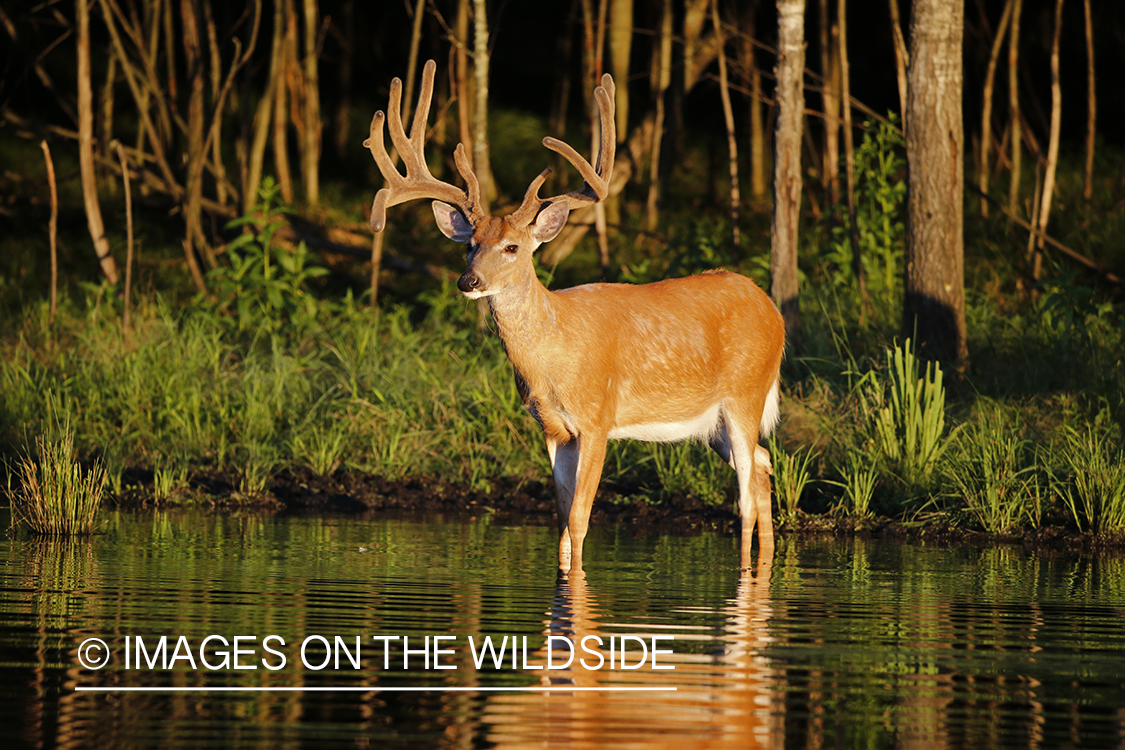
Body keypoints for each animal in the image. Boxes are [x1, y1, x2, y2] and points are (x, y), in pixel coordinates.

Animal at [364, 60, 787, 575]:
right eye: (469, 245)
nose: (468, 281)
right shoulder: (552, 428)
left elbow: (581, 520)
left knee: (745, 493)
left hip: (746, 394)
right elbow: (563, 523)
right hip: (714, 423)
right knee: (763, 466)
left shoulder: (597, 418)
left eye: (512, 247)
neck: (552, 356)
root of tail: (771, 308)